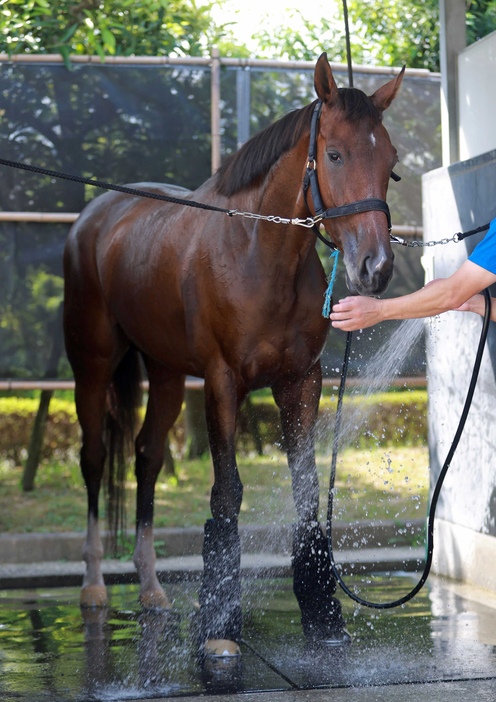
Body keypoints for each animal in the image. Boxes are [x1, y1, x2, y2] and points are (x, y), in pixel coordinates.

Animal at [63, 55, 404, 660]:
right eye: (335, 154)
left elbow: (306, 490)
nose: (376, 267)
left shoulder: (301, 381)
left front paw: (323, 615)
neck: (258, 253)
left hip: (167, 374)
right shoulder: (223, 383)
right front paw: (220, 626)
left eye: (390, 164)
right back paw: (95, 584)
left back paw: (150, 588)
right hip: (93, 367)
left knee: (148, 456)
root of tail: (94, 216)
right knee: (96, 457)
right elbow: (228, 492)